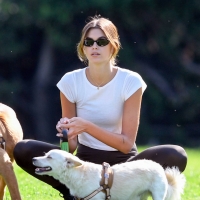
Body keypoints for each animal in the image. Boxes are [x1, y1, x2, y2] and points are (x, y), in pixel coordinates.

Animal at [32, 149, 185, 199]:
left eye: (49, 157)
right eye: (45, 154)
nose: (33, 159)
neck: (78, 174)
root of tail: (158, 166)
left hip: (158, 194)